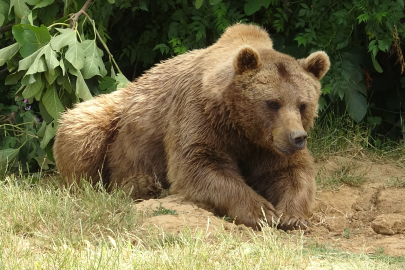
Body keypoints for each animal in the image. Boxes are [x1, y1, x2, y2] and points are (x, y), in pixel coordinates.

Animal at [53, 23, 326, 230]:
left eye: (303, 104)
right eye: (272, 103)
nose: (297, 137)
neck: (240, 125)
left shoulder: (267, 145)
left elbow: (291, 171)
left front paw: (291, 216)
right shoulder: (198, 115)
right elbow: (199, 165)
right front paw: (261, 212)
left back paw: (142, 186)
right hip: (113, 117)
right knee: (82, 130)